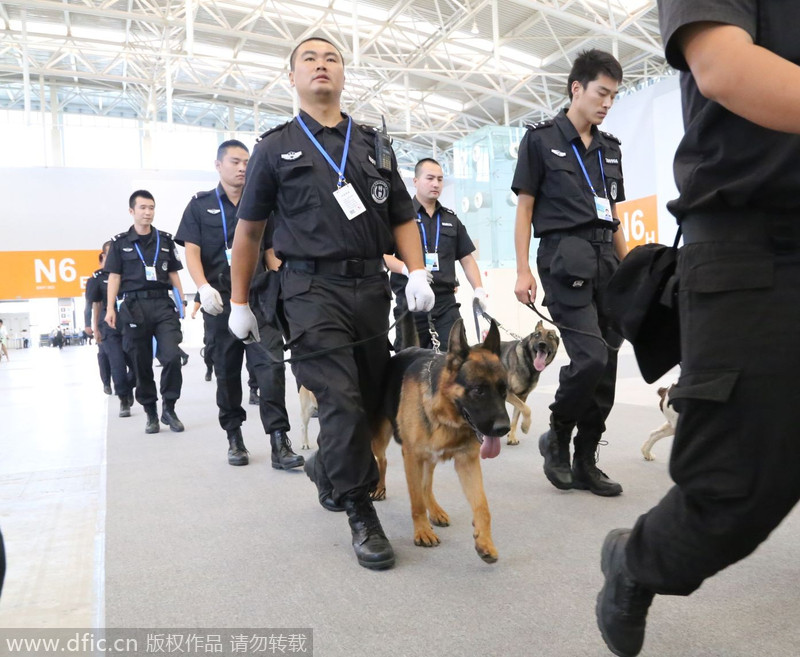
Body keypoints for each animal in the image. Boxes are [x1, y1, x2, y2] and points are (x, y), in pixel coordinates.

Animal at [372, 318, 510, 564]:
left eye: (504, 390)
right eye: (478, 390)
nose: (504, 429)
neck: (445, 416)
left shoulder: (467, 462)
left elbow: (482, 506)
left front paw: (484, 541)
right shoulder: (411, 457)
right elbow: (416, 501)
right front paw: (422, 531)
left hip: (430, 458)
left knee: (426, 485)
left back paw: (435, 510)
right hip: (381, 440)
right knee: (383, 461)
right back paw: (380, 487)